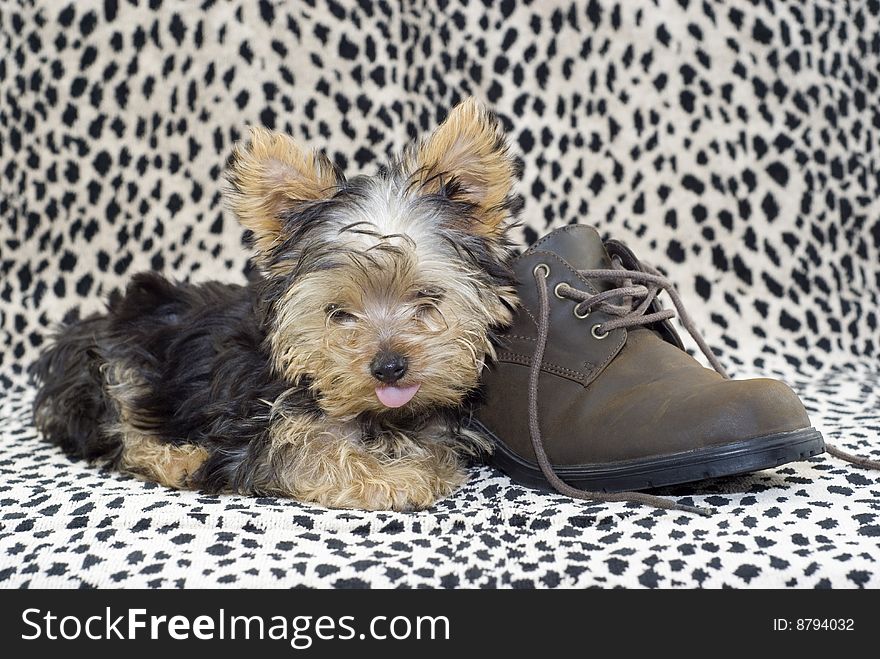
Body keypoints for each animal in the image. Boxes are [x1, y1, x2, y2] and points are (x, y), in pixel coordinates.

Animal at [31, 99, 520, 510]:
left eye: (427, 299)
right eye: (338, 312)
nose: (389, 367)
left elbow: (432, 448)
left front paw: (421, 463)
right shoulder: (252, 433)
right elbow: (308, 453)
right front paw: (395, 478)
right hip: (116, 363)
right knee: (120, 427)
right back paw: (178, 458)